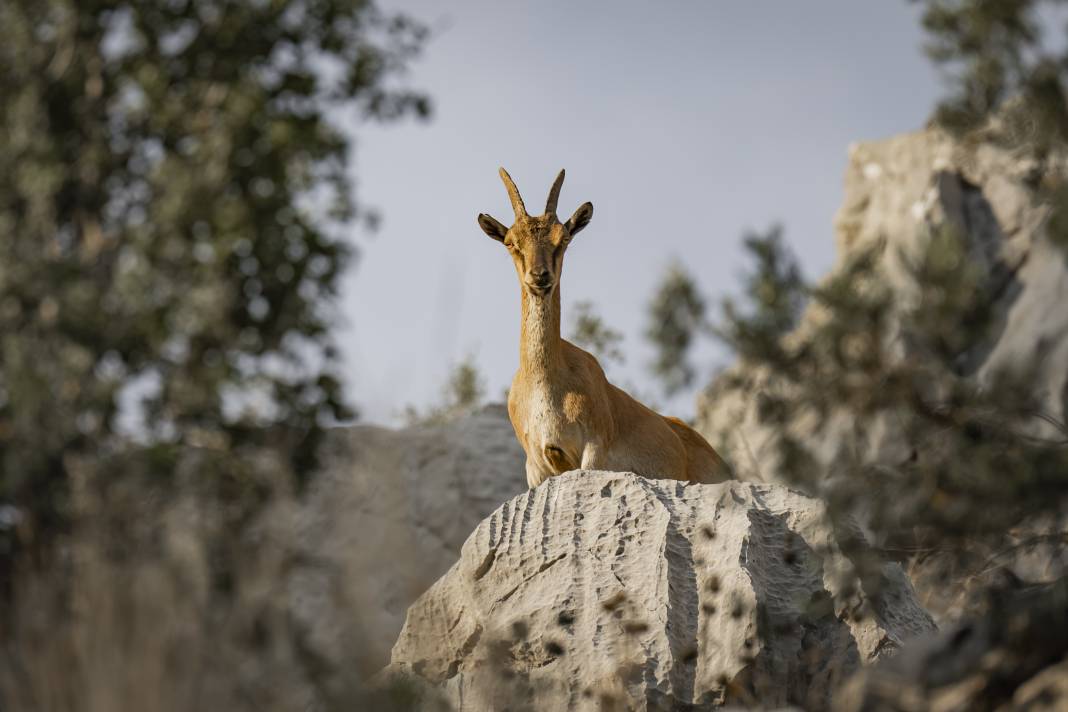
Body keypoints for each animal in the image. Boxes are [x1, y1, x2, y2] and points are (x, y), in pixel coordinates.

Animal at [480, 169, 730, 486]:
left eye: (563, 238)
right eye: (511, 242)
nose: (540, 276)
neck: (543, 381)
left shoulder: (594, 449)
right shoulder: (536, 466)